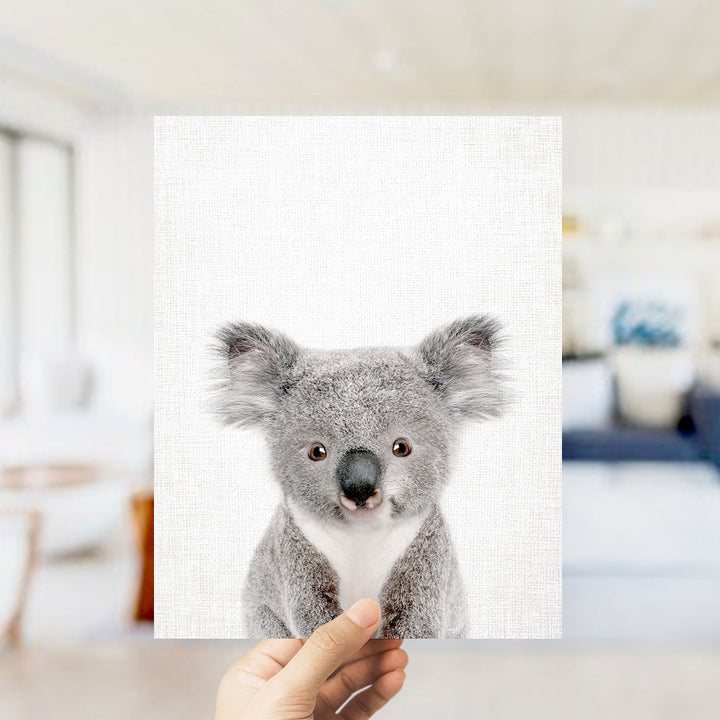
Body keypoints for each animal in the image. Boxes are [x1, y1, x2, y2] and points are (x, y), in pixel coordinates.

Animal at [214, 315, 505, 638]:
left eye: (402, 447)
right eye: (317, 452)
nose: (360, 488)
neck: (362, 535)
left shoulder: (426, 557)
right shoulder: (294, 553)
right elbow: (312, 616)